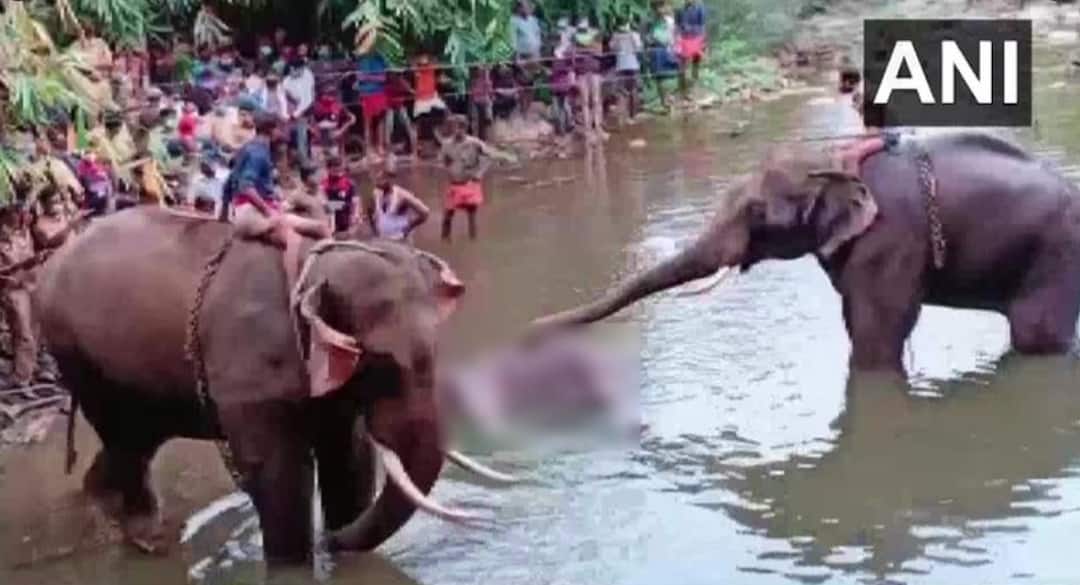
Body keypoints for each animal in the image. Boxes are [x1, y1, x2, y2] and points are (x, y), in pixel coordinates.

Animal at [33, 207, 514, 565]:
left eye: (438, 348)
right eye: (379, 361)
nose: (330, 540)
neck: (310, 266)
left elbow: (349, 456)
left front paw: (343, 553)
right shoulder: (251, 372)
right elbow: (280, 471)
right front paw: (299, 562)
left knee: (136, 439)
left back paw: (101, 506)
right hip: (75, 351)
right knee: (125, 437)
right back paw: (148, 538)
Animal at [535, 132, 1080, 373]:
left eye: (758, 213)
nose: (532, 329)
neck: (834, 160)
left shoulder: (892, 239)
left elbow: (877, 335)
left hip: (1056, 257)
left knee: (1036, 338)